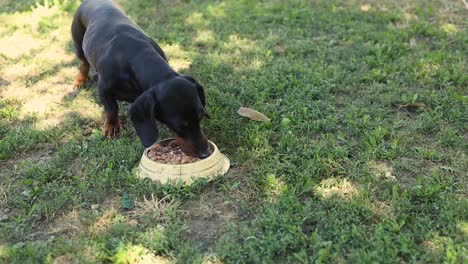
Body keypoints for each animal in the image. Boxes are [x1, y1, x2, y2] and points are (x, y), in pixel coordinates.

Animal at [70, 0, 211, 157]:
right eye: (178, 126)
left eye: (200, 117)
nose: (205, 153)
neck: (136, 55)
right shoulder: (103, 89)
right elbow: (112, 108)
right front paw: (112, 128)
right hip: (78, 44)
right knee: (83, 63)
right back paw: (80, 80)